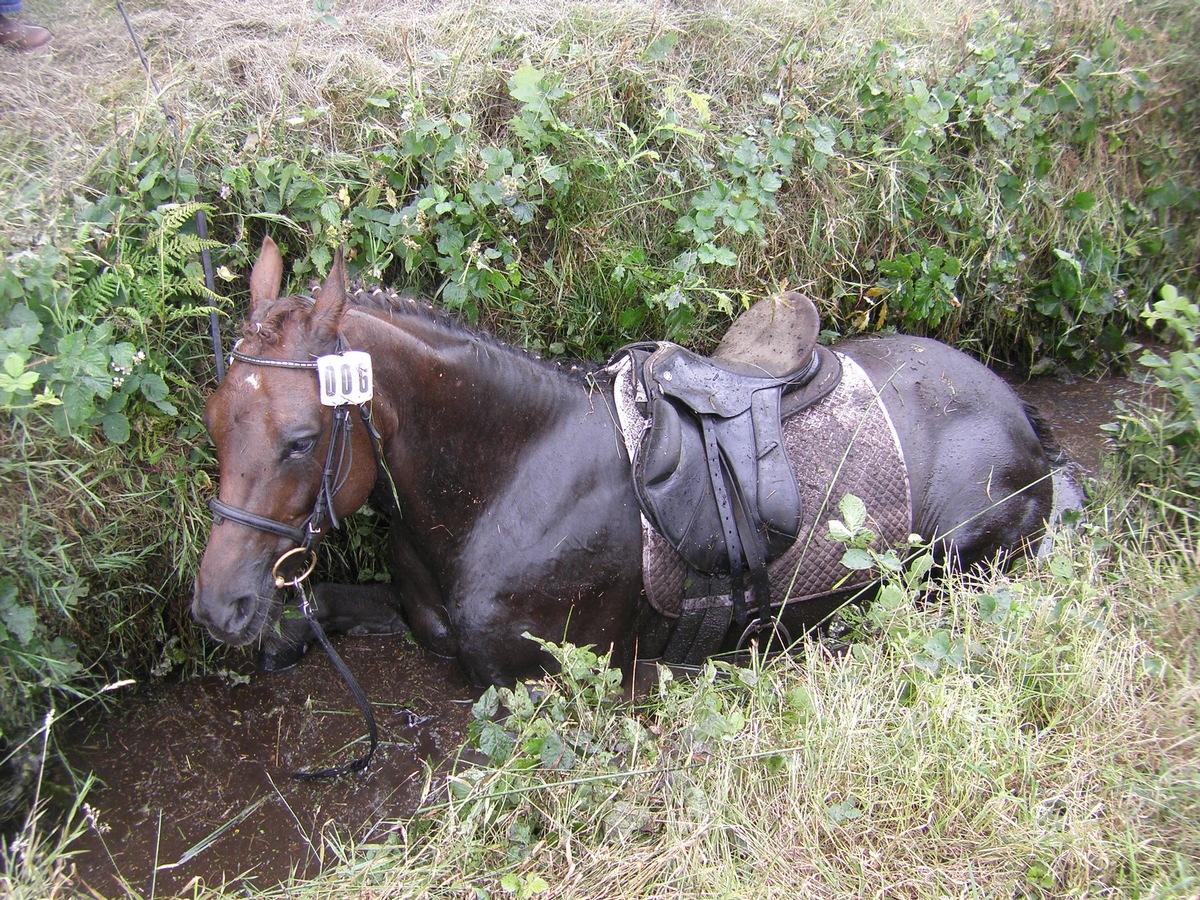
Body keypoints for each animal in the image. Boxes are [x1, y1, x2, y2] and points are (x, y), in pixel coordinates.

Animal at [192, 236, 1075, 686]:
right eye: (215, 423)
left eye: (300, 440)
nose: (217, 606)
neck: (505, 479)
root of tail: (1014, 407)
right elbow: (329, 603)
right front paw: (277, 636)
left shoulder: (529, 675)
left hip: (950, 562)